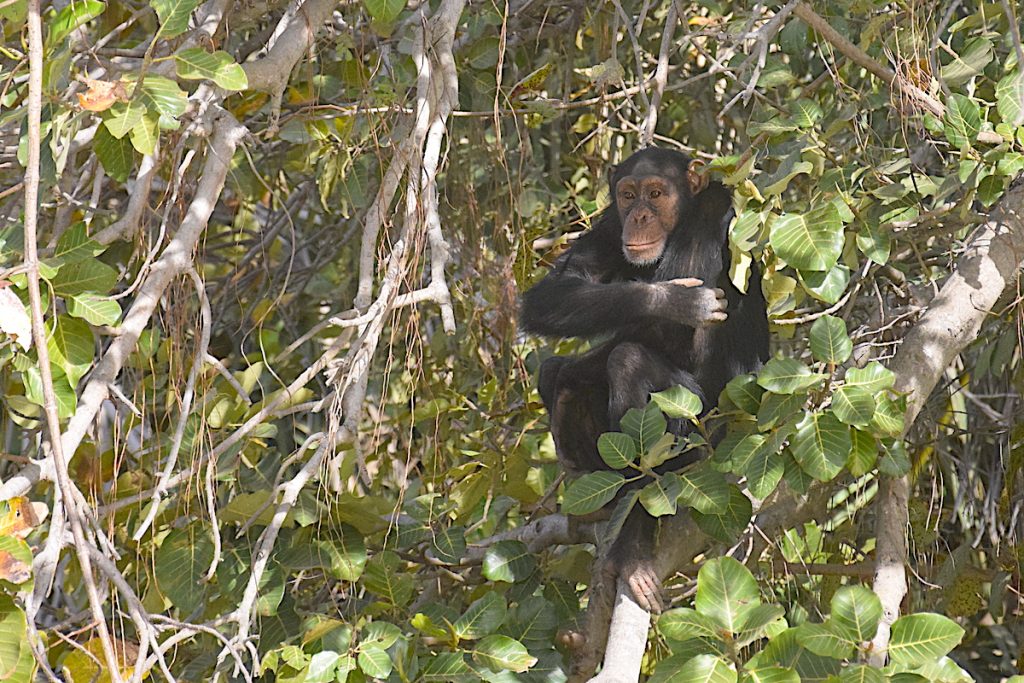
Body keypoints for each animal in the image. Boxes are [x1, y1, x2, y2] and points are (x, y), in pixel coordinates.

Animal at [520, 147, 770, 610]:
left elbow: (668, 334)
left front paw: (570, 381)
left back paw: (633, 547)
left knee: (628, 362)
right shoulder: (608, 226)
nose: (638, 215)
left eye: (656, 193)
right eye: (628, 195)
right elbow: (556, 292)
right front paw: (673, 300)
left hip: (699, 442)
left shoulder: (710, 217)